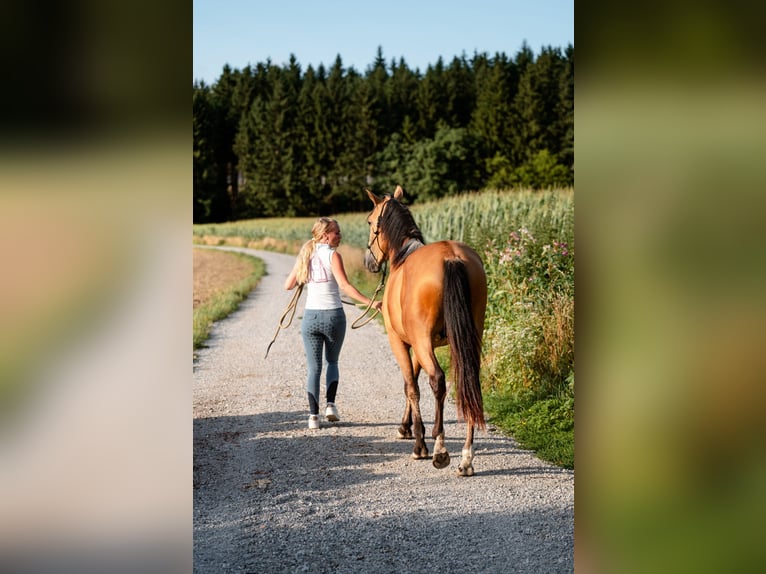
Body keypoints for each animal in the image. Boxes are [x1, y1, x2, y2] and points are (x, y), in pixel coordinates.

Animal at [364, 185, 488, 476]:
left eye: (370, 222)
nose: (369, 262)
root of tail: (451, 256)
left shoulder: (402, 342)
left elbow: (411, 385)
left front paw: (418, 444)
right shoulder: (420, 345)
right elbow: (411, 380)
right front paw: (405, 427)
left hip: (422, 342)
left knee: (437, 381)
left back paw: (440, 449)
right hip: (468, 338)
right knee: (470, 381)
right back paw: (466, 458)